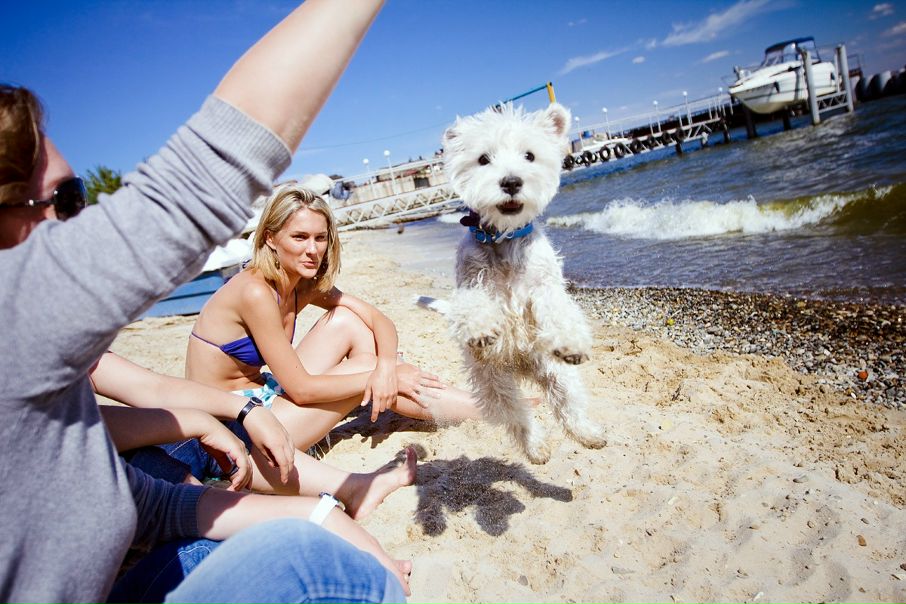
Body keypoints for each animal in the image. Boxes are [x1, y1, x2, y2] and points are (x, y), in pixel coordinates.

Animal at [442, 102, 606, 464]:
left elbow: (558, 309)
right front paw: (481, 329)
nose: (512, 181)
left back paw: (589, 435)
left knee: (568, 405)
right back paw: (537, 447)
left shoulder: (543, 286)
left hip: (558, 375)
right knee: (518, 416)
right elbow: (474, 306)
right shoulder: (472, 284)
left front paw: (571, 342)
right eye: (483, 159)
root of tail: (521, 368)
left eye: (529, 155)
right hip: (493, 384)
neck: (503, 237)